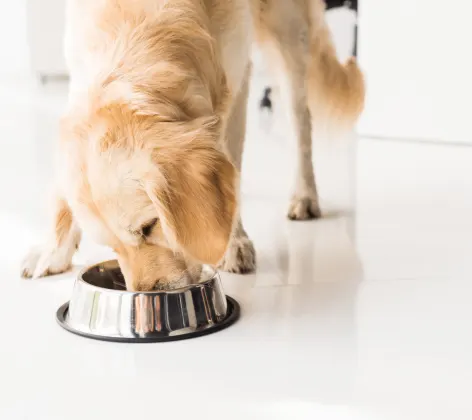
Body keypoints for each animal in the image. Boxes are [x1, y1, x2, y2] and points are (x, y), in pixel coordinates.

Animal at [21, 0, 366, 290]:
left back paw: (304, 195)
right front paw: (53, 250)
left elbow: (230, 162)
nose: (148, 294)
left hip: (287, 31)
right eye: (111, 246)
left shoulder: (234, 80)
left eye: (149, 226)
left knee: (301, 122)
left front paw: (232, 242)